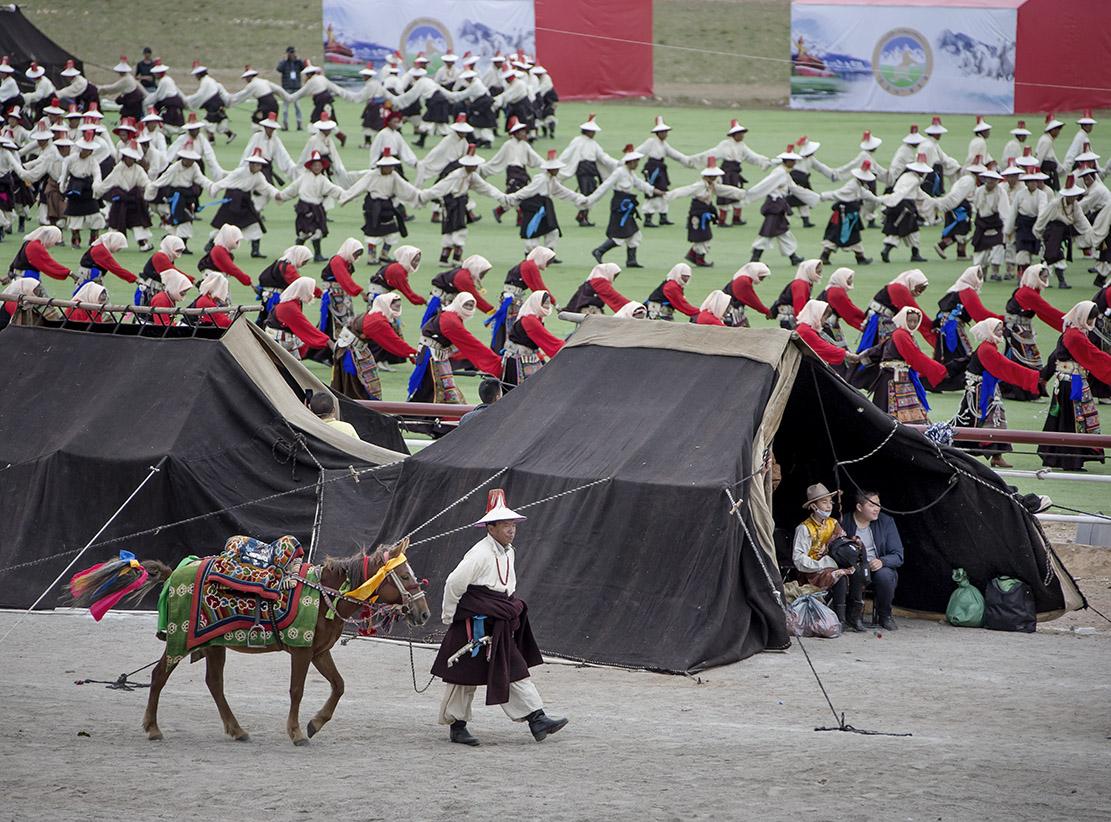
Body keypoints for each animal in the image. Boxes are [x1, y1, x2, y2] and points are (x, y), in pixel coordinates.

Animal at [136, 546, 431, 746]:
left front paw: (315, 723)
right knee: (159, 675)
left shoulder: (319, 652)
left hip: (213, 643)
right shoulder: (301, 650)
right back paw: (153, 728)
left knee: (214, 684)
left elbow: (339, 685)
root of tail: (175, 572)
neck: (325, 595)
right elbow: (296, 691)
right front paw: (297, 732)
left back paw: (237, 730)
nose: (424, 613)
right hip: (180, 639)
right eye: (405, 577)